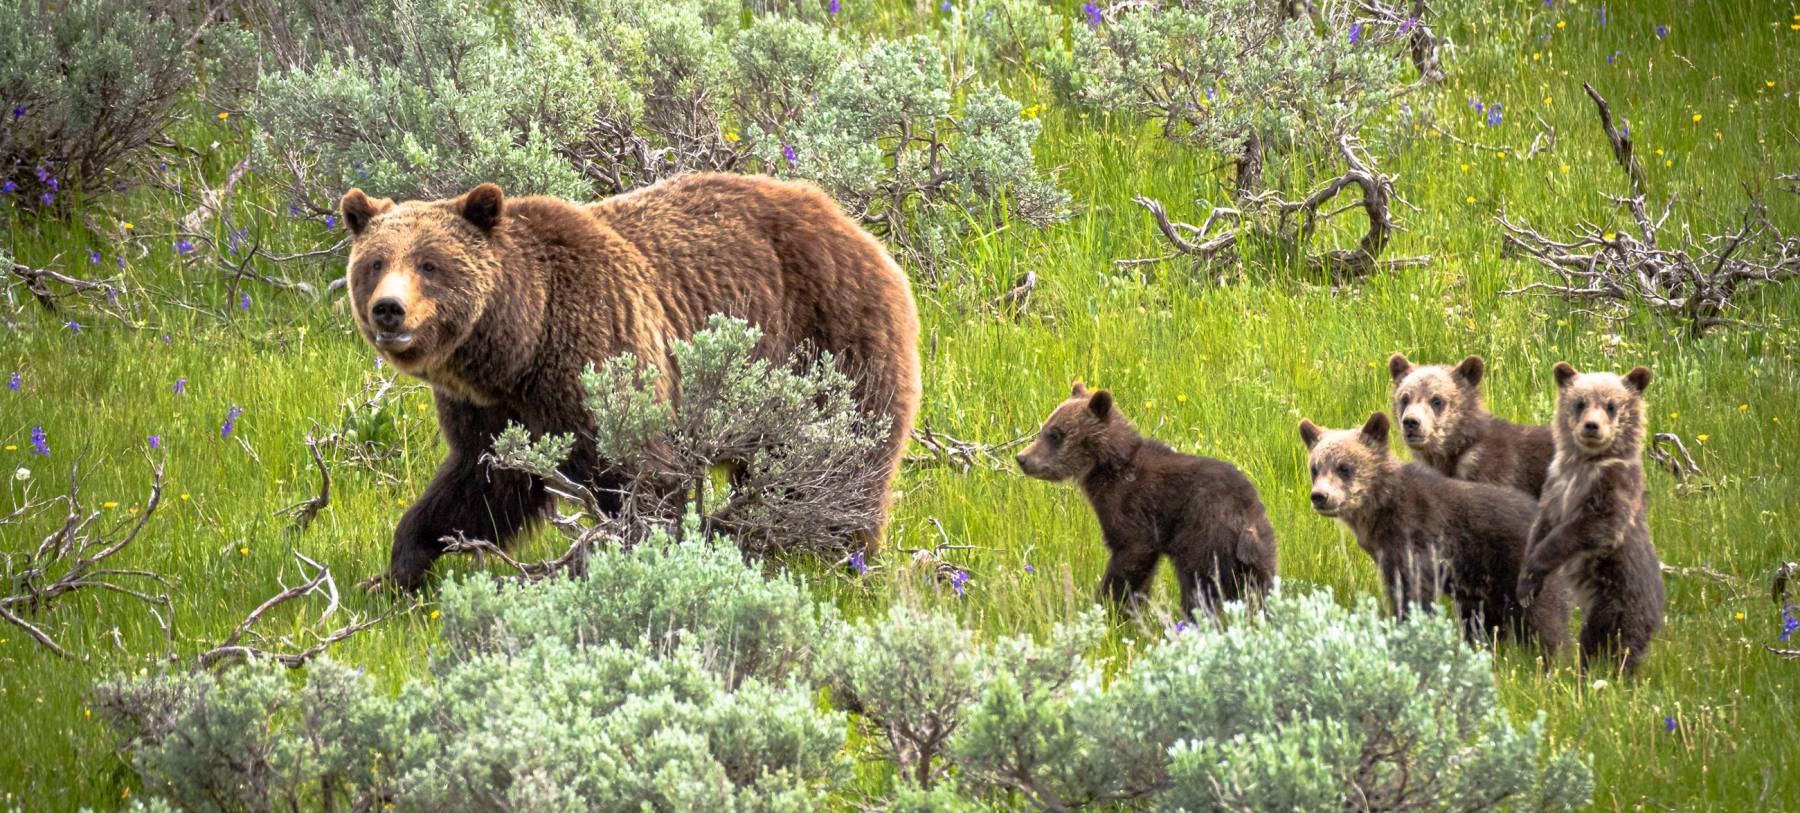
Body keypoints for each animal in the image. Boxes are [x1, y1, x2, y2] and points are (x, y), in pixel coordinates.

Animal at [342, 172, 921, 589]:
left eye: (429, 264)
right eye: (375, 263)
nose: (388, 310)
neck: (520, 345)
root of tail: (860, 230)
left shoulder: (600, 352)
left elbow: (645, 475)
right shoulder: (492, 410)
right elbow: (480, 483)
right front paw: (398, 569)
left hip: (827, 340)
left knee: (840, 458)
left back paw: (834, 548)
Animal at [1015, 381, 1281, 615]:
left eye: (1055, 434)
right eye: (1044, 427)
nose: (1022, 458)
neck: (1109, 468)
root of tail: (1245, 521)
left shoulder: (1132, 507)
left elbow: (1130, 555)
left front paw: (1111, 605)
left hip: (1205, 534)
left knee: (1199, 587)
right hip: (1262, 550)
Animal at [1303, 413, 1569, 654]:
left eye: (1344, 467)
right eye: (1315, 468)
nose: (1320, 496)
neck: (1381, 512)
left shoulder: (1418, 538)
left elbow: (1415, 593)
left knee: (1544, 622)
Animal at [1512, 361, 1663, 672]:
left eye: (1611, 405)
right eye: (1580, 402)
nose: (1592, 426)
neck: (1584, 464)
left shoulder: (1612, 486)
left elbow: (1593, 526)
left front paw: (1536, 566)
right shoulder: (1555, 485)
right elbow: (1540, 528)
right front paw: (1525, 586)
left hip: (1618, 599)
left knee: (1615, 645)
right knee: (1592, 644)